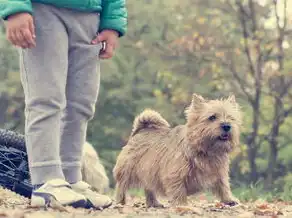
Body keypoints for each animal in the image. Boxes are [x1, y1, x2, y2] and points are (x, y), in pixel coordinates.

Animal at [112, 93, 242, 207]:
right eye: (212, 117)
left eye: (231, 118)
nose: (227, 126)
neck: (207, 150)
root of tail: (142, 130)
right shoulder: (175, 174)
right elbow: (178, 190)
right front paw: (181, 204)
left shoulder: (220, 173)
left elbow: (224, 186)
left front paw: (229, 200)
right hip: (126, 170)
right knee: (121, 186)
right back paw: (120, 201)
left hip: (148, 173)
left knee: (149, 189)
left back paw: (154, 203)